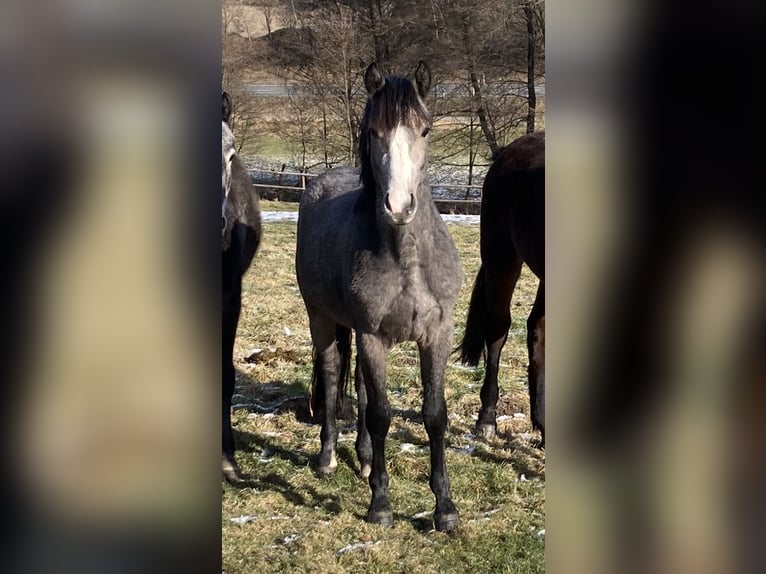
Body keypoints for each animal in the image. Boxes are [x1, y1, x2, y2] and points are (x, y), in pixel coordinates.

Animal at [294, 63, 462, 536]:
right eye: (373, 131)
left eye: (425, 129)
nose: (399, 206)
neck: (406, 258)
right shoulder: (371, 336)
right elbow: (383, 415)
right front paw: (381, 505)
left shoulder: (437, 333)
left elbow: (434, 414)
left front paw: (444, 508)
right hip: (322, 319)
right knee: (334, 374)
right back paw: (329, 457)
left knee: (361, 391)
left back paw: (366, 460)